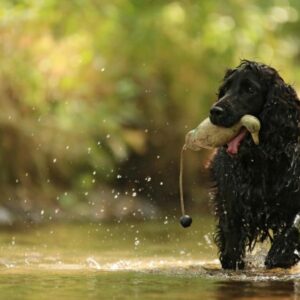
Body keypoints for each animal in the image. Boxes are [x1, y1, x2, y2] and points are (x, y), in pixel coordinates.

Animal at [210, 60, 300, 270]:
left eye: (250, 89)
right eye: (225, 88)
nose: (215, 111)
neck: (262, 159)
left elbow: (293, 226)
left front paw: (280, 253)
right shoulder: (232, 202)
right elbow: (232, 246)